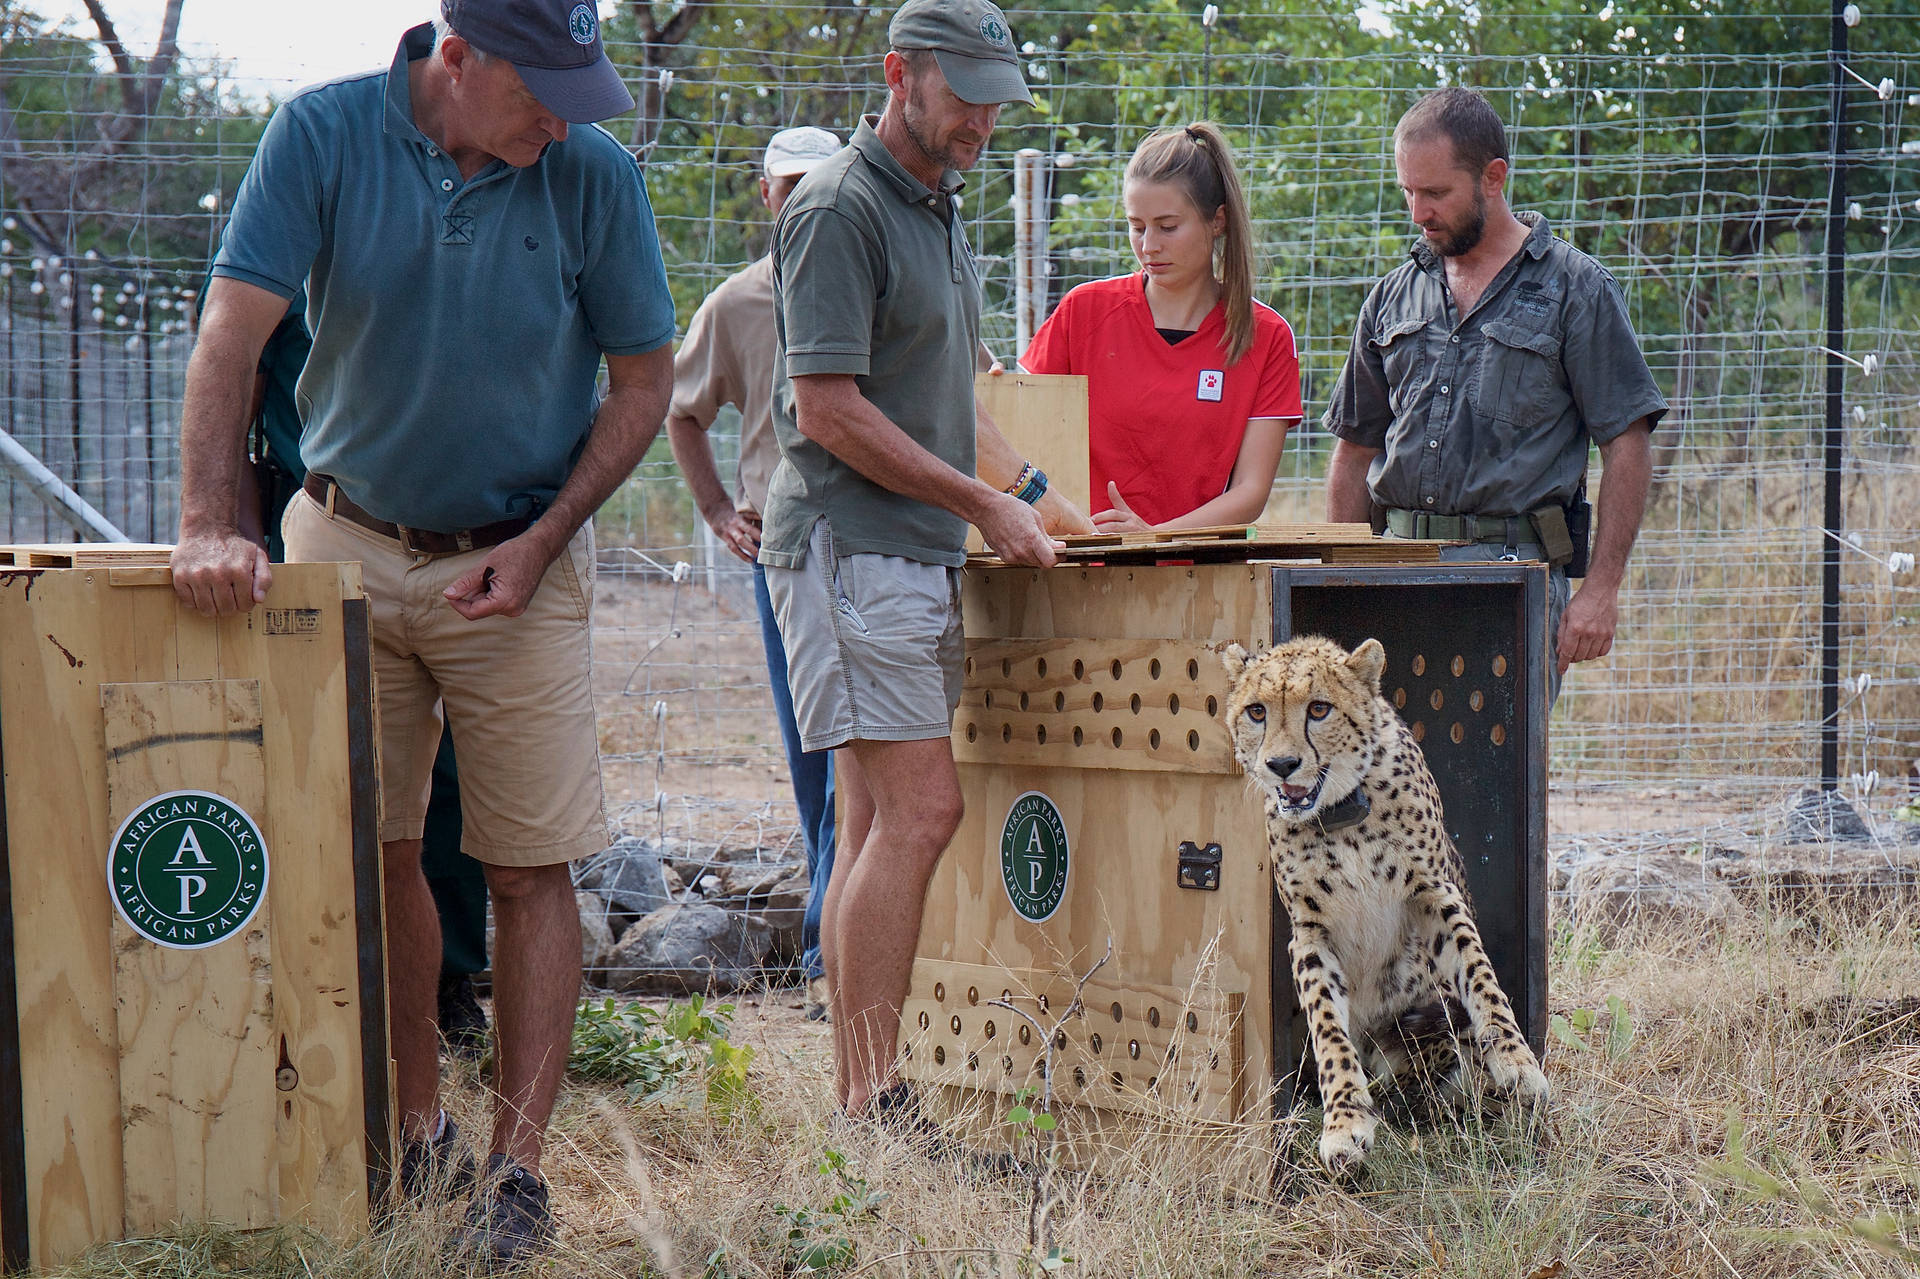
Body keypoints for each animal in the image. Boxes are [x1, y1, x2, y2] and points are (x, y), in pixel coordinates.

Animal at [1228, 633, 1543, 1167]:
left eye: (1319, 708)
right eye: (1256, 711)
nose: (1281, 765)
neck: (1340, 815)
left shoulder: (1436, 895)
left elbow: (1481, 977)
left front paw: (1517, 1061)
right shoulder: (1311, 934)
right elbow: (1329, 1029)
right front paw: (1344, 1122)